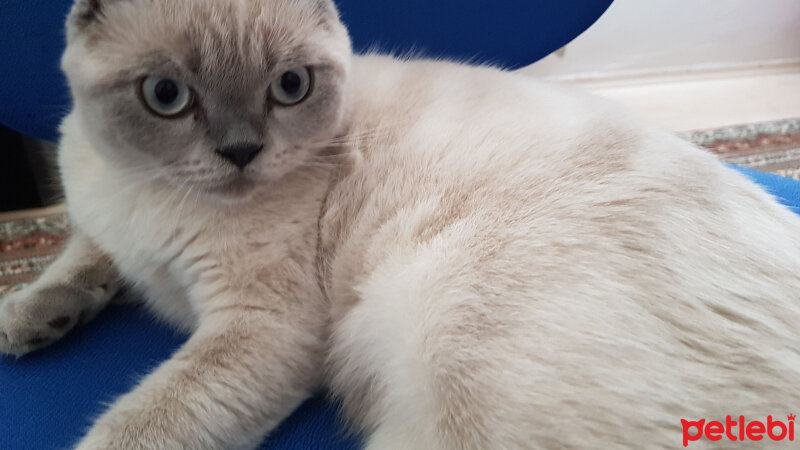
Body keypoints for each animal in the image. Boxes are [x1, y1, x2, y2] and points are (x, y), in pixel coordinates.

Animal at [1, 0, 800, 450]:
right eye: (166, 95)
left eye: (289, 87)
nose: (240, 152)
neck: (145, 187)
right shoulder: (107, 231)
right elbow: (78, 260)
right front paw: (29, 320)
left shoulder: (265, 329)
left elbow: (137, 425)